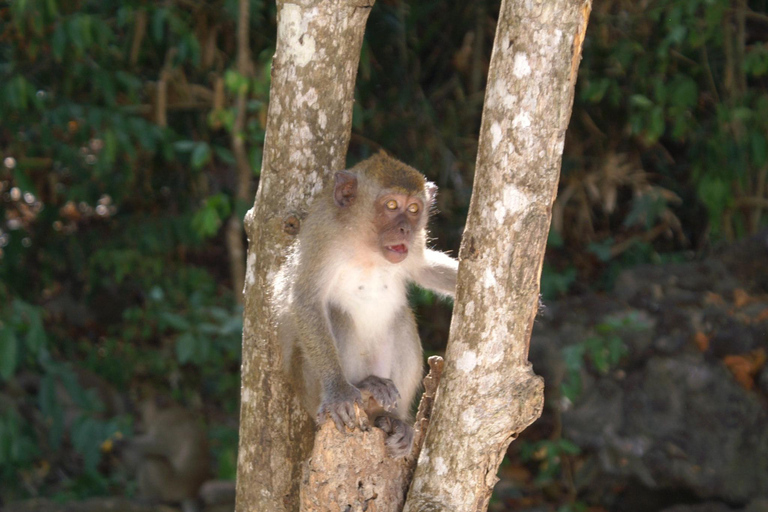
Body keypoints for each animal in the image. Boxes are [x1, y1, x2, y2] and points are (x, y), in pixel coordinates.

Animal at [276, 151, 456, 456]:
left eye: (413, 209)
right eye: (392, 205)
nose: (405, 229)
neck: (366, 244)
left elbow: (423, 270)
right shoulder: (322, 235)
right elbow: (306, 299)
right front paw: (338, 391)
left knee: (401, 317)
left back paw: (396, 420)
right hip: (311, 391)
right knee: (338, 314)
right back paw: (363, 386)